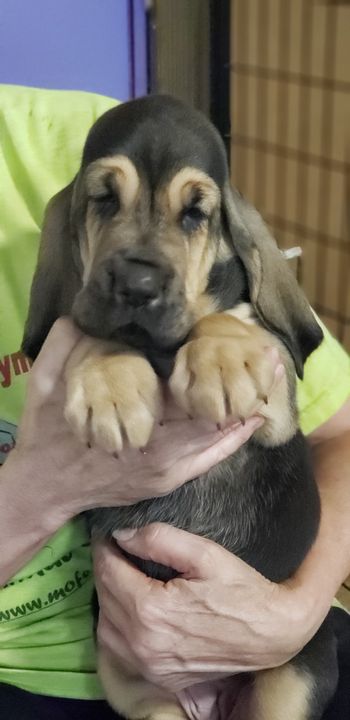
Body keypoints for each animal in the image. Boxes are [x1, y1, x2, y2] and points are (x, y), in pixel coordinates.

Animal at [23, 97, 338, 720]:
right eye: (103, 198)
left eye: (196, 213)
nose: (137, 284)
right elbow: (91, 325)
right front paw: (110, 385)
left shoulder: (275, 411)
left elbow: (235, 319)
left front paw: (223, 359)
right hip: (134, 685)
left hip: (296, 669)